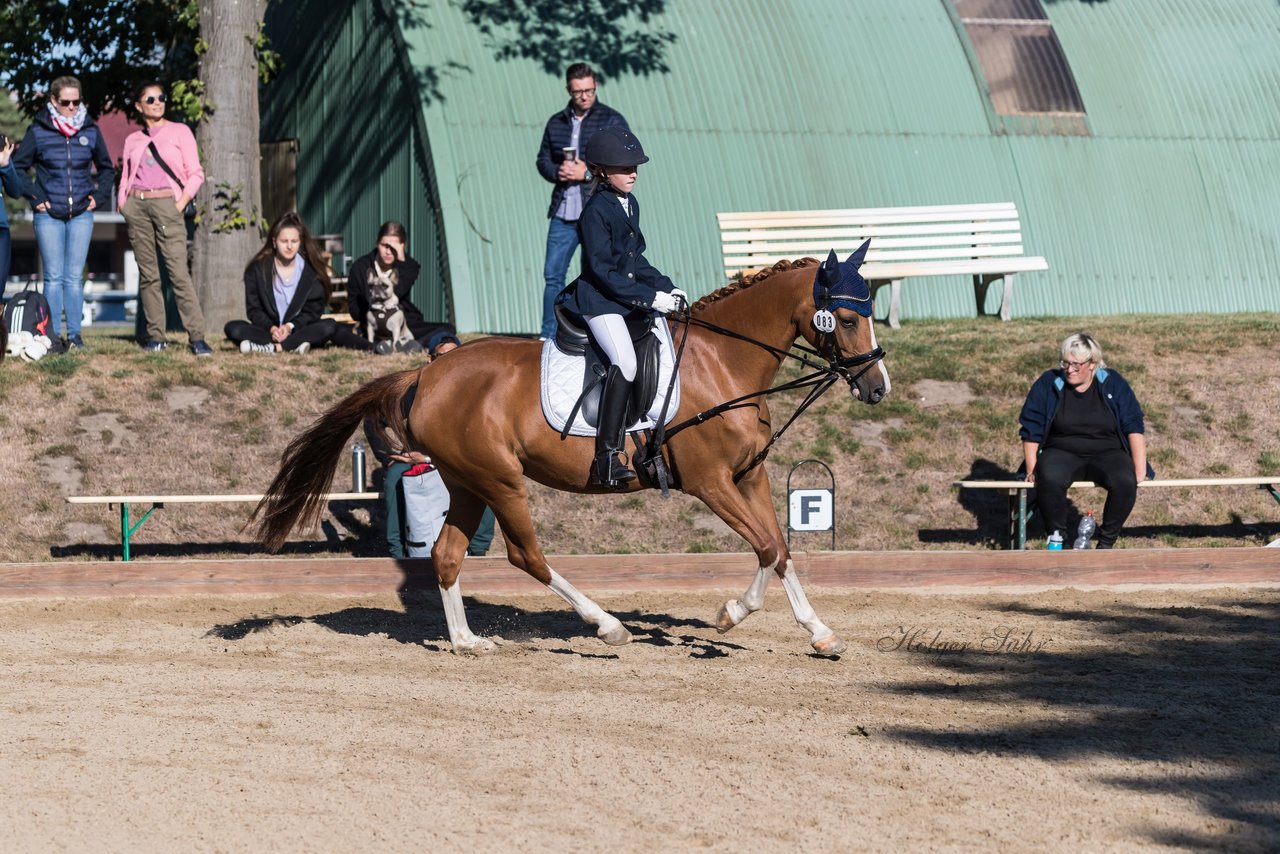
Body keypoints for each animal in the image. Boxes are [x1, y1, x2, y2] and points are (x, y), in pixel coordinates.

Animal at [249, 257, 890, 660]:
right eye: (847, 318)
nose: (878, 386)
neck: (723, 362)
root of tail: (425, 373)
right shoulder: (710, 482)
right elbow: (765, 548)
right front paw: (731, 613)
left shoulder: (748, 475)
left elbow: (779, 547)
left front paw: (819, 632)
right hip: (501, 481)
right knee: (526, 556)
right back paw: (608, 627)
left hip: (467, 483)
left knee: (447, 555)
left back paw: (467, 643)